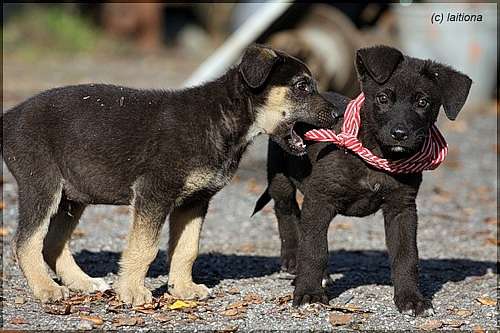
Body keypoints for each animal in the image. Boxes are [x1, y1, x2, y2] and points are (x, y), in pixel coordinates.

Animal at [2, 44, 336, 306]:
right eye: (302, 86)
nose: (335, 115)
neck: (221, 117)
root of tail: (9, 116)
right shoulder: (153, 193)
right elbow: (145, 247)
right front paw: (132, 291)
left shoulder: (195, 201)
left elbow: (187, 248)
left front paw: (182, 289)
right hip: (42, 184)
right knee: (25, 242)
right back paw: (46, 288)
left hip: (73, 196)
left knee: (51, 243)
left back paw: (83, 283)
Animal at [254, 46, 472, 314]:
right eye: (382, 98)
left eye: (423, 102)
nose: (400, 134)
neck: (375, 155)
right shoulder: (320, 200)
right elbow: (314, 249)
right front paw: (309, 293)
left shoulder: (402, 208)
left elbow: (406, 255)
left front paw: (412, 299)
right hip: (280, 175)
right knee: (285, 211)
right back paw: (293, 259)